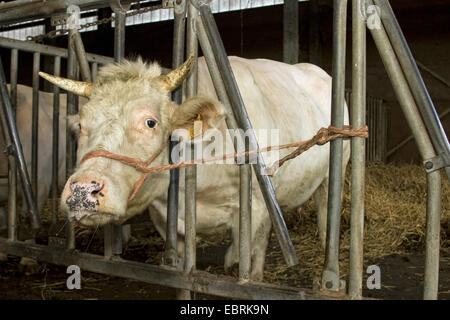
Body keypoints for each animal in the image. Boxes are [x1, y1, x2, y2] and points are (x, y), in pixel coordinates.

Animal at [41, 57, 352, 280]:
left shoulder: (259, 201)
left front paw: (246, 269)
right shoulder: (165, 215)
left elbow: (252, 251)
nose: (83, 190)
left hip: (336, 169)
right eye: (81, 125)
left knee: (325, 208)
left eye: (150, 122)